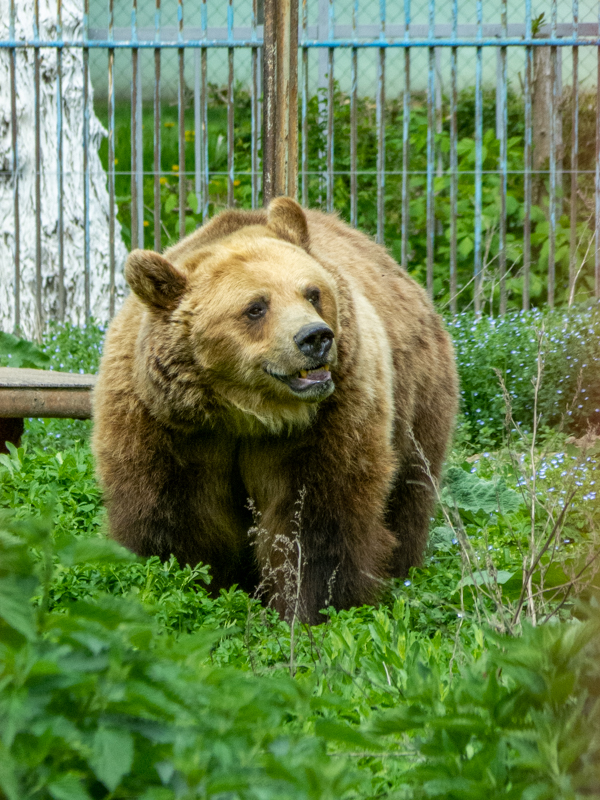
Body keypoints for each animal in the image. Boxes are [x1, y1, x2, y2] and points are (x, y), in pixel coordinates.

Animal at [92, 198, 458, 624]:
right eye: (255, 307)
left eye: (312, 293)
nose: (315, 337)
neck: (244, 412)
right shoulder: (168, 426)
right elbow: (172, 515)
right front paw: (184, 583)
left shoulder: (325, 421)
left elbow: (315, 516)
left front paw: (311, 604)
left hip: (417, 396)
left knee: (410, 487)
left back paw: (403, 569)